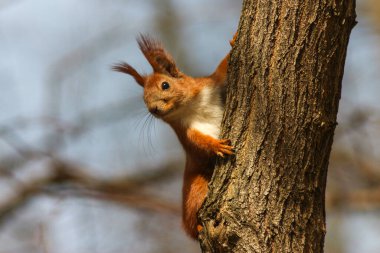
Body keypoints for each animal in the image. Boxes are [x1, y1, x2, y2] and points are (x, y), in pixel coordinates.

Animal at [113, 34, 235, 239]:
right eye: (144, 99)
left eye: (165, 85)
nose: (153, 109)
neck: (190, 106)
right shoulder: (186, 131)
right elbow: (198, 142)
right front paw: (216, 146)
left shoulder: (213, 84)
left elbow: (223, 69)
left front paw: (233, 41)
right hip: (197, 190)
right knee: (193, 224)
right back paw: (198, 227)